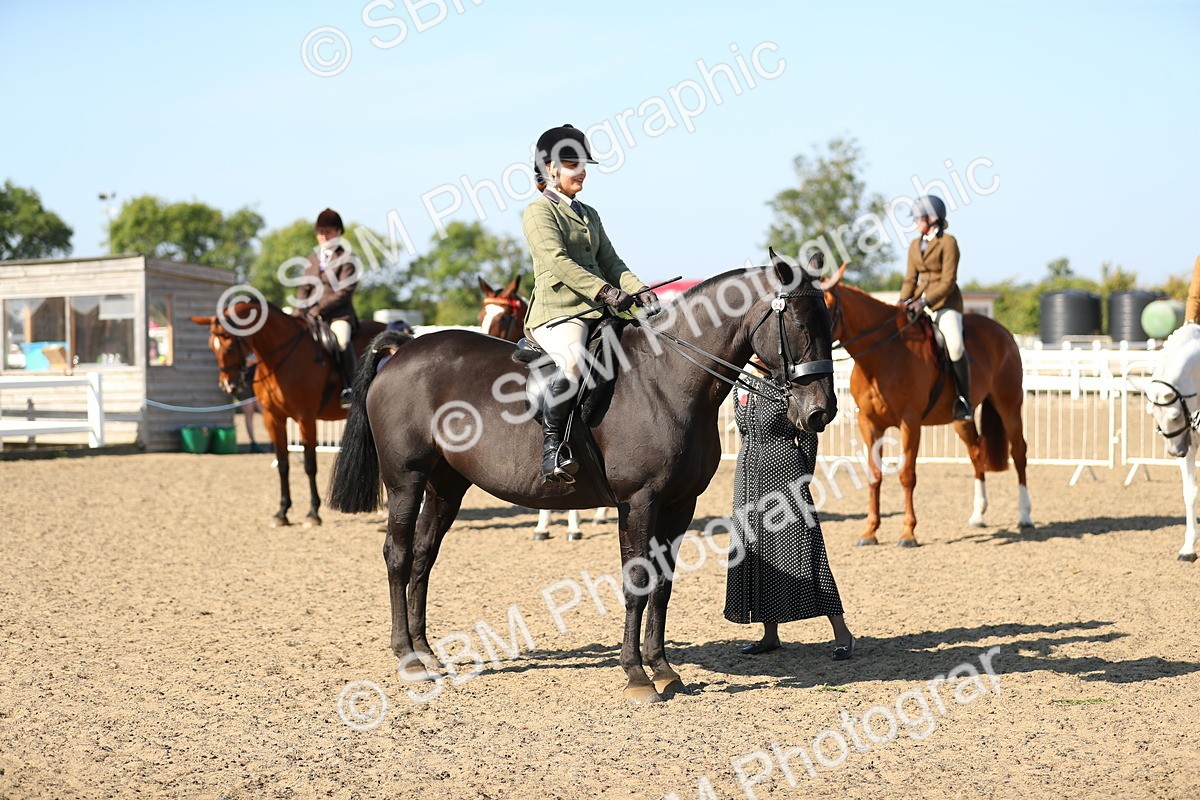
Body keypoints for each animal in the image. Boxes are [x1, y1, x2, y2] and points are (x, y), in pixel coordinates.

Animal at [190, 300, 391, 527]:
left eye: (230, 345)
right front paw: (282, 512)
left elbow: (310, 465)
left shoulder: (306, 418)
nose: (228, 386)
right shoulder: (273, 418)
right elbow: (283, 464)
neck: (279, 358)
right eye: (211, 345)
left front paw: (313, 513)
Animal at [822, 263, 1033, 546]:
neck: (882, 355)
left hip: (1009, 404)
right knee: (977, 453)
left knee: (1019, 452)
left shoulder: (910, 422)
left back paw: (1025, 516)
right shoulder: (868, 423)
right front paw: (869, 532)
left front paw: (908, 533)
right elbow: (874, 475)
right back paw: (978, 515)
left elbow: (907, 475)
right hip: (961, 421)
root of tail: (1003, 332)